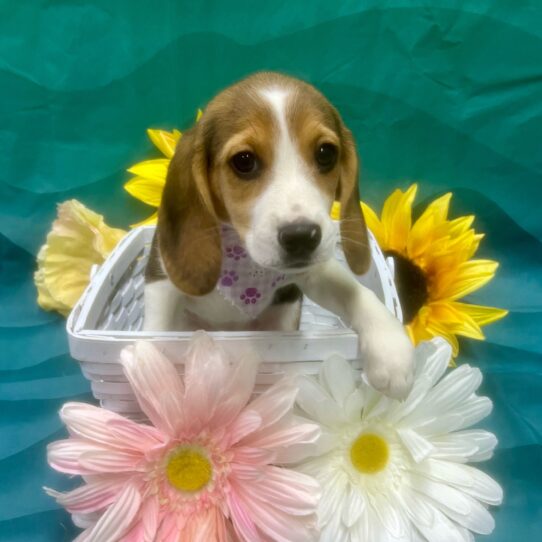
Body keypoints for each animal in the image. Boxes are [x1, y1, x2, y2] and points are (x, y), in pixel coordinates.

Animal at [142, 72, 414, 402]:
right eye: (244, 161)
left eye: (326, 154)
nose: (302, 237)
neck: (244, 260)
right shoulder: (161, 282)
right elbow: (155, 332)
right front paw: (148, 366)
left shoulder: (315, 273)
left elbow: (356, 292)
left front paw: (392, 348)